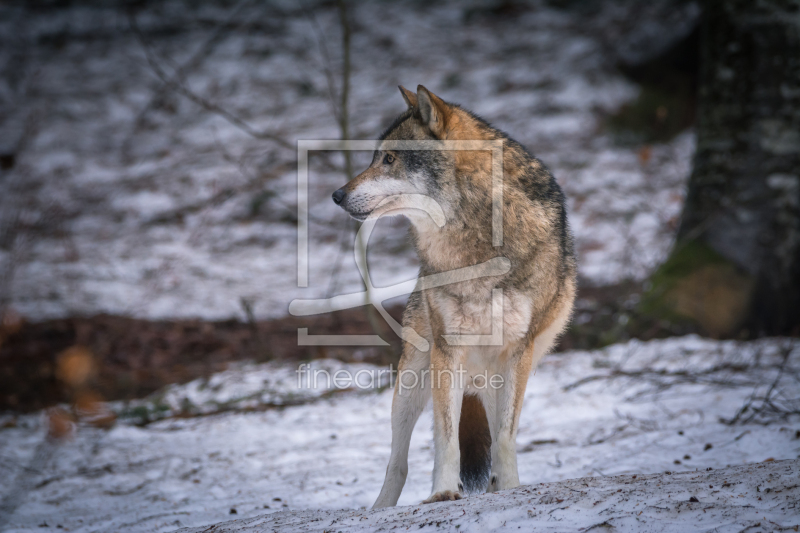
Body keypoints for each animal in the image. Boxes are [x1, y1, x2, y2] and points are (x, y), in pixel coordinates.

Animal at [332, 85, 576, 504]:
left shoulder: (518, 350)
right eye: (376, 157)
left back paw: (494, 485)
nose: (336, 194)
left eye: (389, 158)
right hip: (412, 380)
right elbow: (447, 439)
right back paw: (381, 507)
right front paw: (444, 491)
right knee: (398, 461)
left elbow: (506, 438)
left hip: (499, 374)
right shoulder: (448, 350)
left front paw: (510, 488)